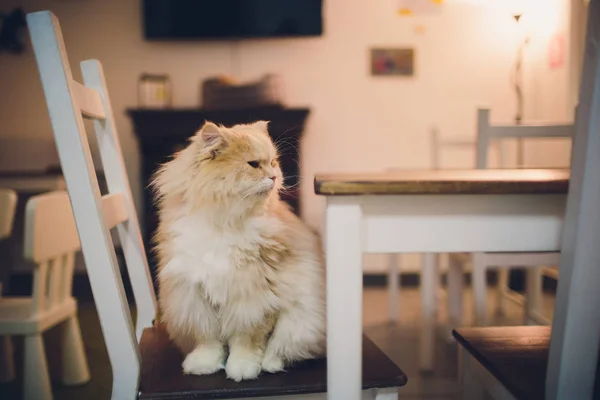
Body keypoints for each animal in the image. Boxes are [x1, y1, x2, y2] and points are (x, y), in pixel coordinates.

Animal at [152, 119, 326, 382]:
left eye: (273, 162)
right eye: (254, 164)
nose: (274, 176)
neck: (224, 223)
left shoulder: (255, 300)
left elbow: (248, 343)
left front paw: (243, 368)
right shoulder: (195, 299)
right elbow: (209, 341)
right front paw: (204, 365)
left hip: (302, 320)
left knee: (283, 348)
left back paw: (271, 364)